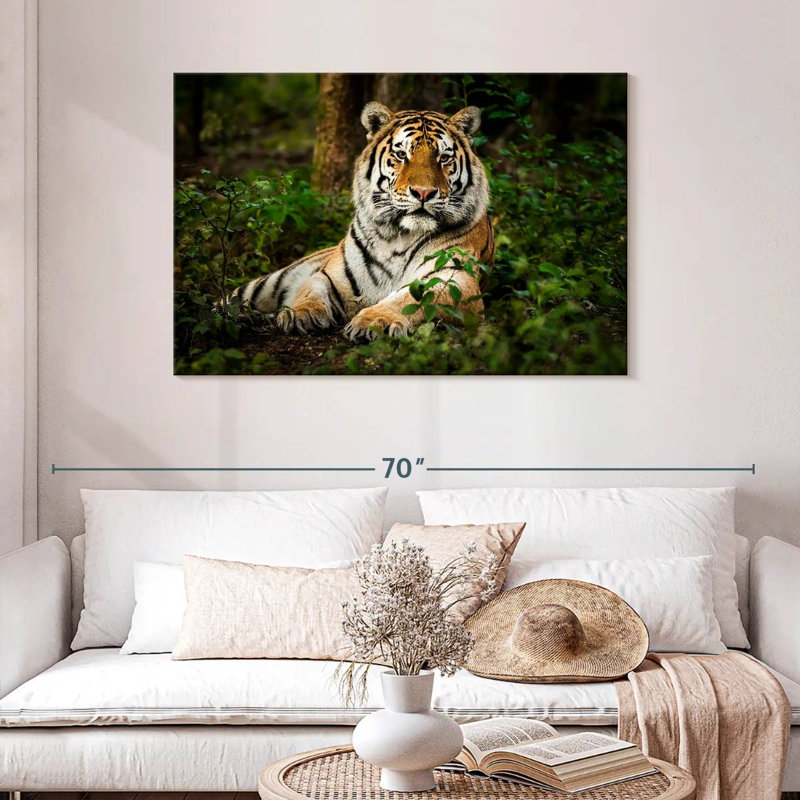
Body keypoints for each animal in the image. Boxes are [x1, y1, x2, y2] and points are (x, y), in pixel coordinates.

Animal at [228, 101, 494, 341]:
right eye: (401, 154)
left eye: (444, 158)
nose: (423, 192)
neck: (398, 236)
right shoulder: (330, 276)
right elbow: (309, 291)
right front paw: (299, 314)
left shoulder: (454, 278)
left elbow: (408, 299)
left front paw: (375, 321)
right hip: (269, 283)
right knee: (232, 297)